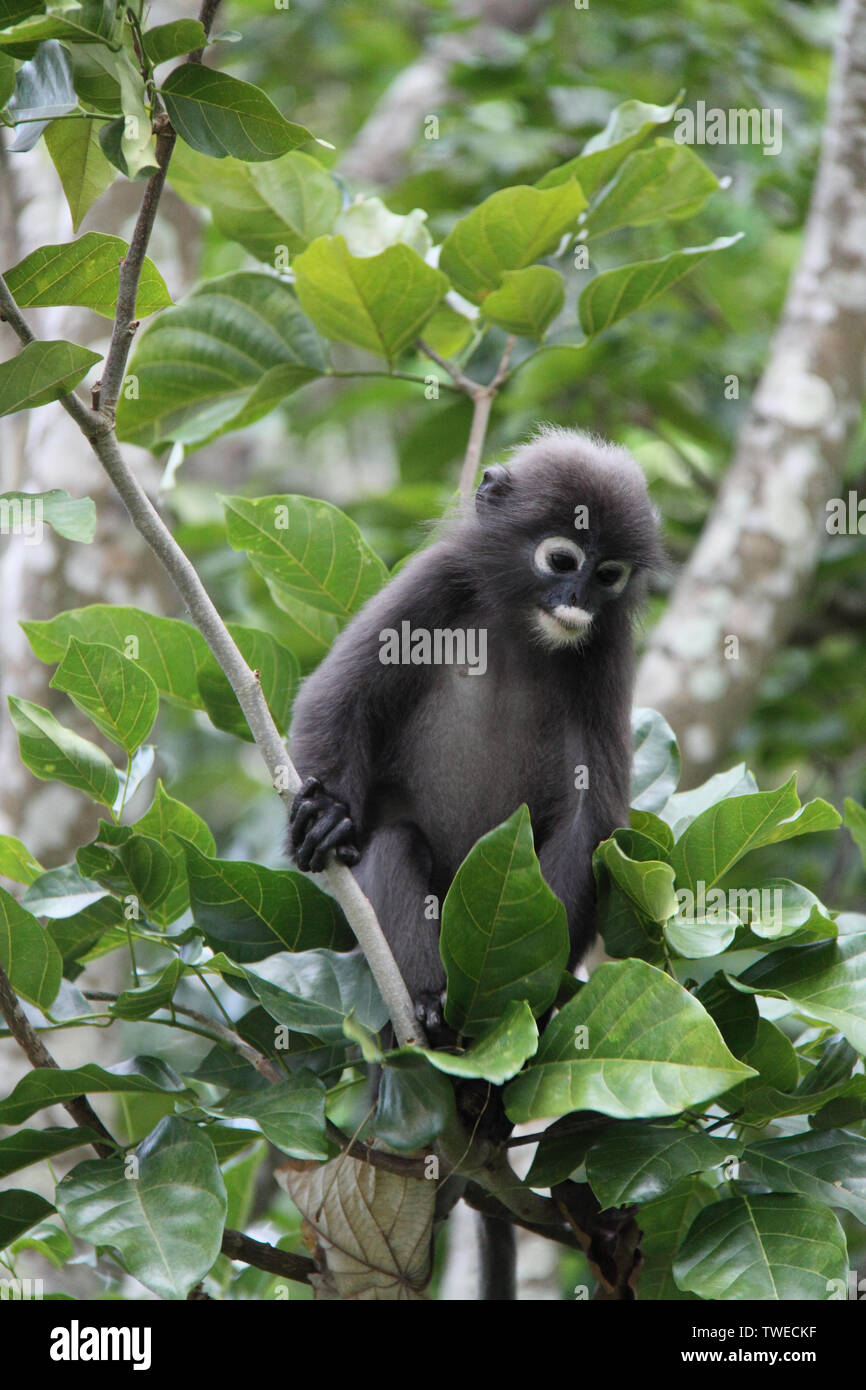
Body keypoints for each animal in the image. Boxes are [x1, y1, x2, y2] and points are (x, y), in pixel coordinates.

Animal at [289, 428, 664, 1039]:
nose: (578, 600)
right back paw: (425, 1003)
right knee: (394, 843)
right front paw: (326, 816)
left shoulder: (606, 650)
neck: (522, 628)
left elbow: (591, 815)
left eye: (609, 575)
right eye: (563, 560)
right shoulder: (439, 577)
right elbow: (339, 697)